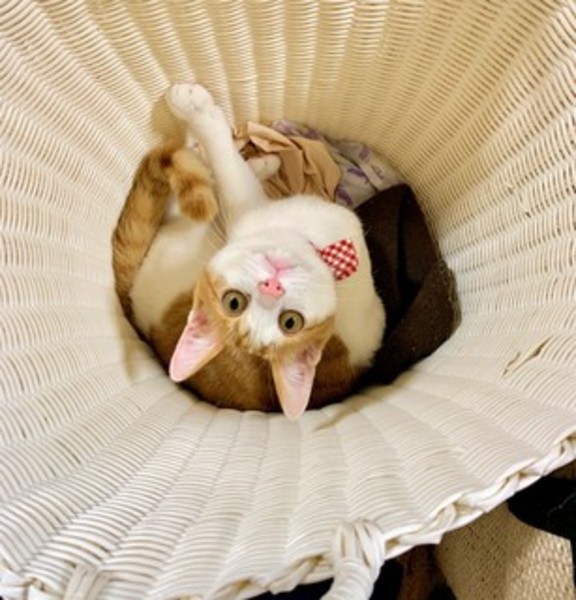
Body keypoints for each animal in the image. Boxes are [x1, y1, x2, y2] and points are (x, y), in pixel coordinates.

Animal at [112, 82, 385, 420]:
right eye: (234, 303)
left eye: (290, 323)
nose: (272, 284)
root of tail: (133, 306)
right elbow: (227, 164)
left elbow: (225, 161)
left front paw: (195, 108)